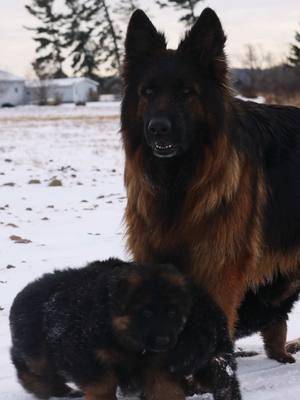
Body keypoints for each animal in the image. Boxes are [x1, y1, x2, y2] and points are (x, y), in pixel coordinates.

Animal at [9, 260, 241, 400]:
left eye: (173, 313)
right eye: (146, 313)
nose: (164, 341)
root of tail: (22, 293)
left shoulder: (156, 366)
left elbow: (164, 388)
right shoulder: (86, 356)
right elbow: (102, 384)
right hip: (37, 351)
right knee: (27, 365)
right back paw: (49, 389)